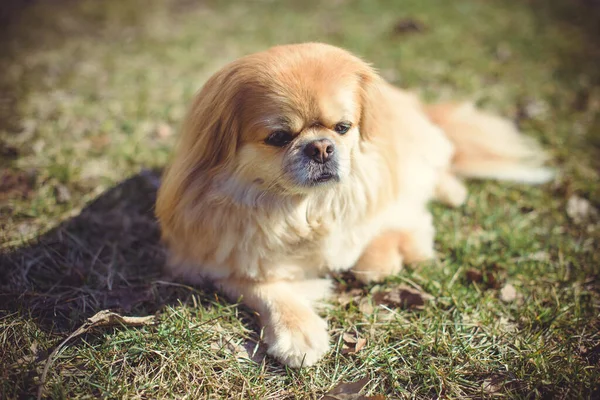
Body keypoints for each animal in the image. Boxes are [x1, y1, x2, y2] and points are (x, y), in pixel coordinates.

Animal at [156, 42, 552, 368]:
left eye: (343, 128)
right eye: (280, 137)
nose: (320, 147)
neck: (306, 208)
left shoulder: (396, 203)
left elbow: (383, 248)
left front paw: (383, 257)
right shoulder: (214, 264)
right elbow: (267, 289)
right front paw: (298, 331)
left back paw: (452, 190)